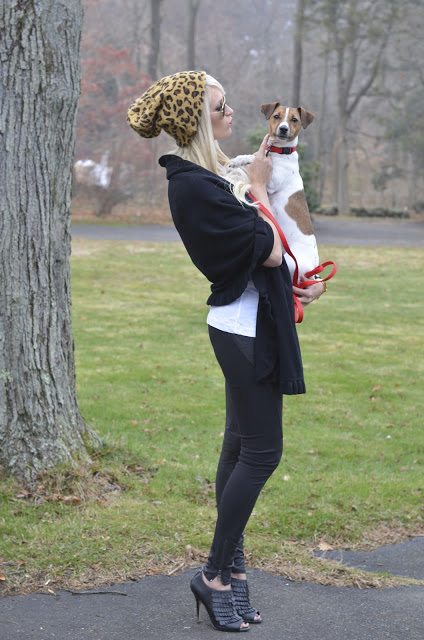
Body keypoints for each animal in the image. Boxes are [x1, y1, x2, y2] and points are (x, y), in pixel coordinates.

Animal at [229, 102, 318, 281]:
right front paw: (237, 161)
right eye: (276, 116)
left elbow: (255, 160)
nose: (283, 129)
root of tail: (314, 265)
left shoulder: (272, 180)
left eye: (294, 120)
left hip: (290, 262)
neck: (278, 152)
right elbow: (249, 157)